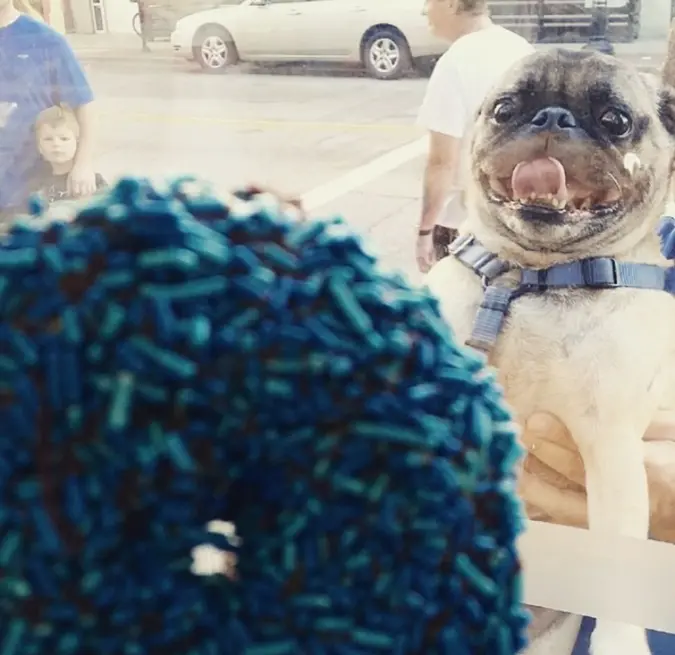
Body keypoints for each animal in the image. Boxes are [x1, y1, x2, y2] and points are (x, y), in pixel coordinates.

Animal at [426, 48, 675, 655]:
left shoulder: (610, 449)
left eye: (615, 120)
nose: (553, 119)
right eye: (505, 109)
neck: (531, 279)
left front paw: (619, 640)